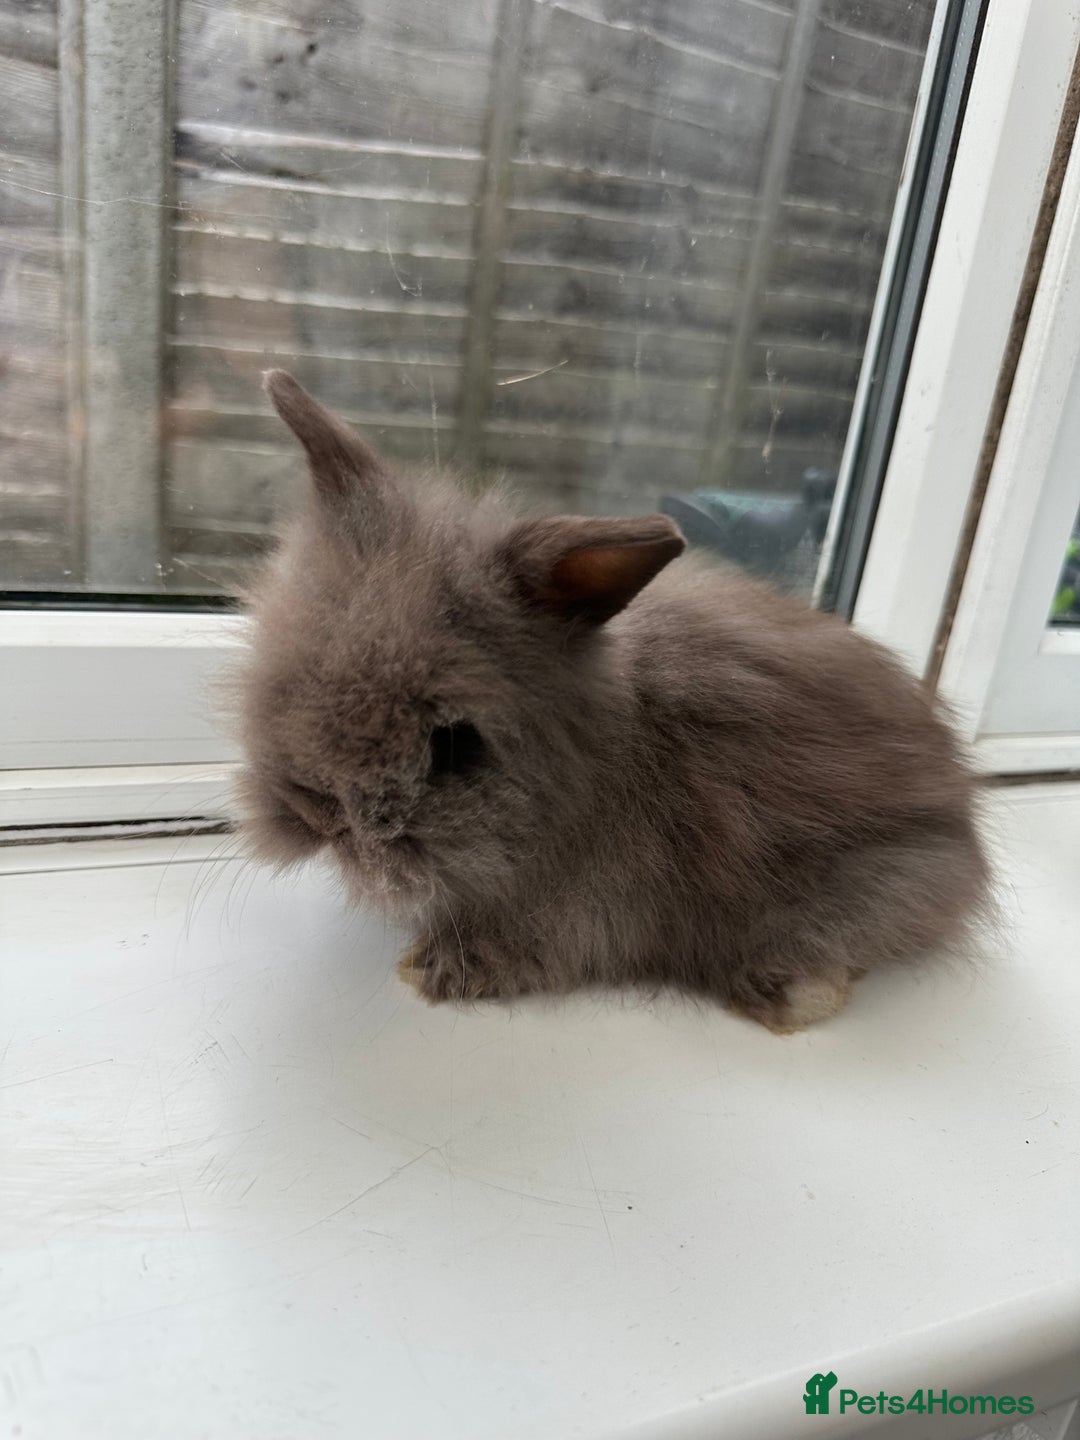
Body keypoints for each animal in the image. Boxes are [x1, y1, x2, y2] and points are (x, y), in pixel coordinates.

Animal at [233, 370, 990, 1033]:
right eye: (281, 677)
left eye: (453, 744)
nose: (318, 814)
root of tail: (963, 824)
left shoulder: (590, 906)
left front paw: (429, 969)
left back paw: (783, 995)